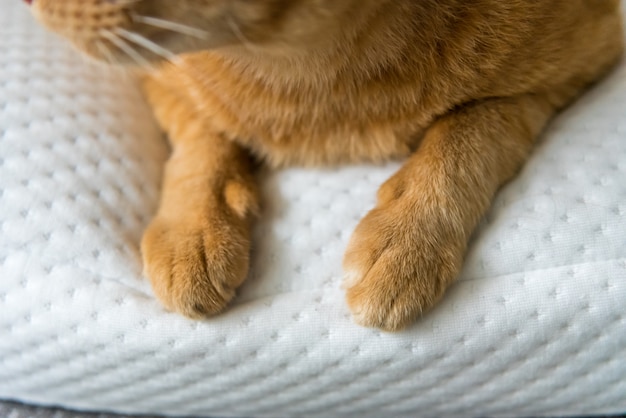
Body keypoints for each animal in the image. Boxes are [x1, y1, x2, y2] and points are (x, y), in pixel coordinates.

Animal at [29, 0, 620, 330]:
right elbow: (202, 134)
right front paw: (192, 231)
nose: (34, 1)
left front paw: (405, 243)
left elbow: (470, 134)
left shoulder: (577, 64)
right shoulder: (160, 77)